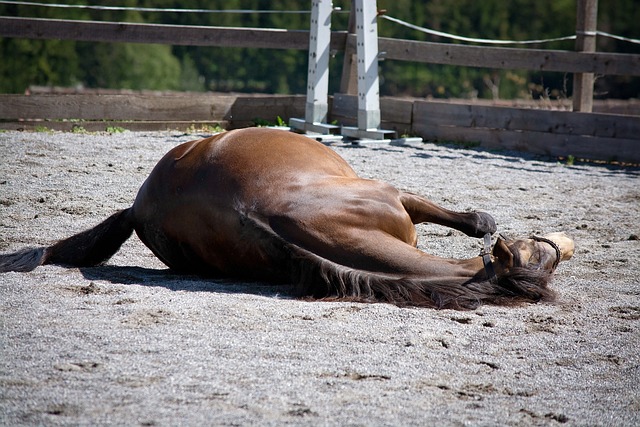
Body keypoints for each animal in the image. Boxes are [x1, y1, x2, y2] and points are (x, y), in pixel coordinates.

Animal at [0, 128, 576, 310]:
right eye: (534, 252)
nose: (553, 245)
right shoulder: (395, 197)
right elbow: (460, 219)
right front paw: (486, 221)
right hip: (381, 189)